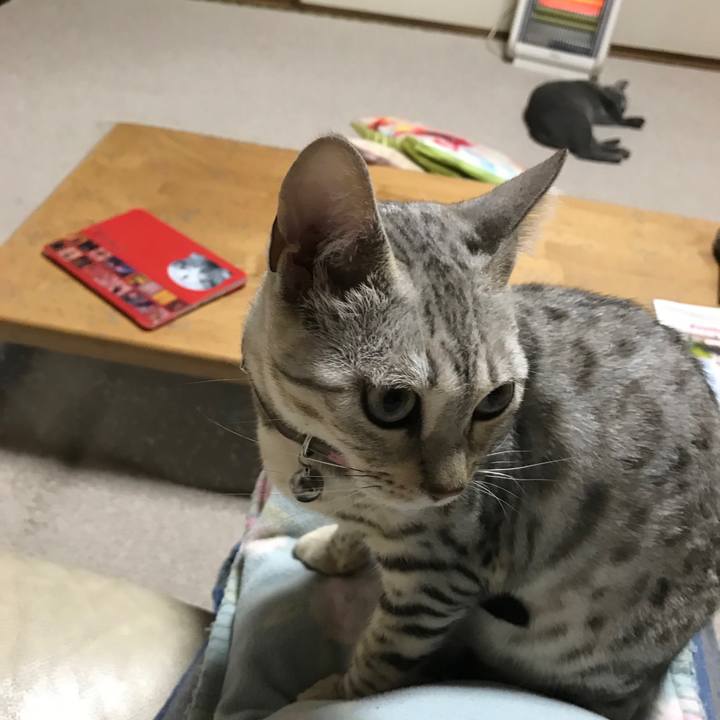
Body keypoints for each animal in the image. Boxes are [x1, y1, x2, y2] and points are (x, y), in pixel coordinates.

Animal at [241, 136, 720, 720]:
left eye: (497, 399)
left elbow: (381, 658)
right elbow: (353, 531)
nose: (451, 489)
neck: (317, 453)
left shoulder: (439, 577)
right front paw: (333, 547)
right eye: (392, 402)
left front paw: (323, 698)